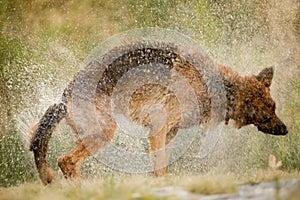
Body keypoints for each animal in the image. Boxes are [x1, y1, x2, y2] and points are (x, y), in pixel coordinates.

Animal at [29, 39, 288, 185]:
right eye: (267, 114)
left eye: (274, 107)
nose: (286, 130)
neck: (218, 87)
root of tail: (63, 97)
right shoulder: (158, 128)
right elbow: (159, 168)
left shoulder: (169, 133)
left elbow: (161, 167)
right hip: (103, 133)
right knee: (66, 161)